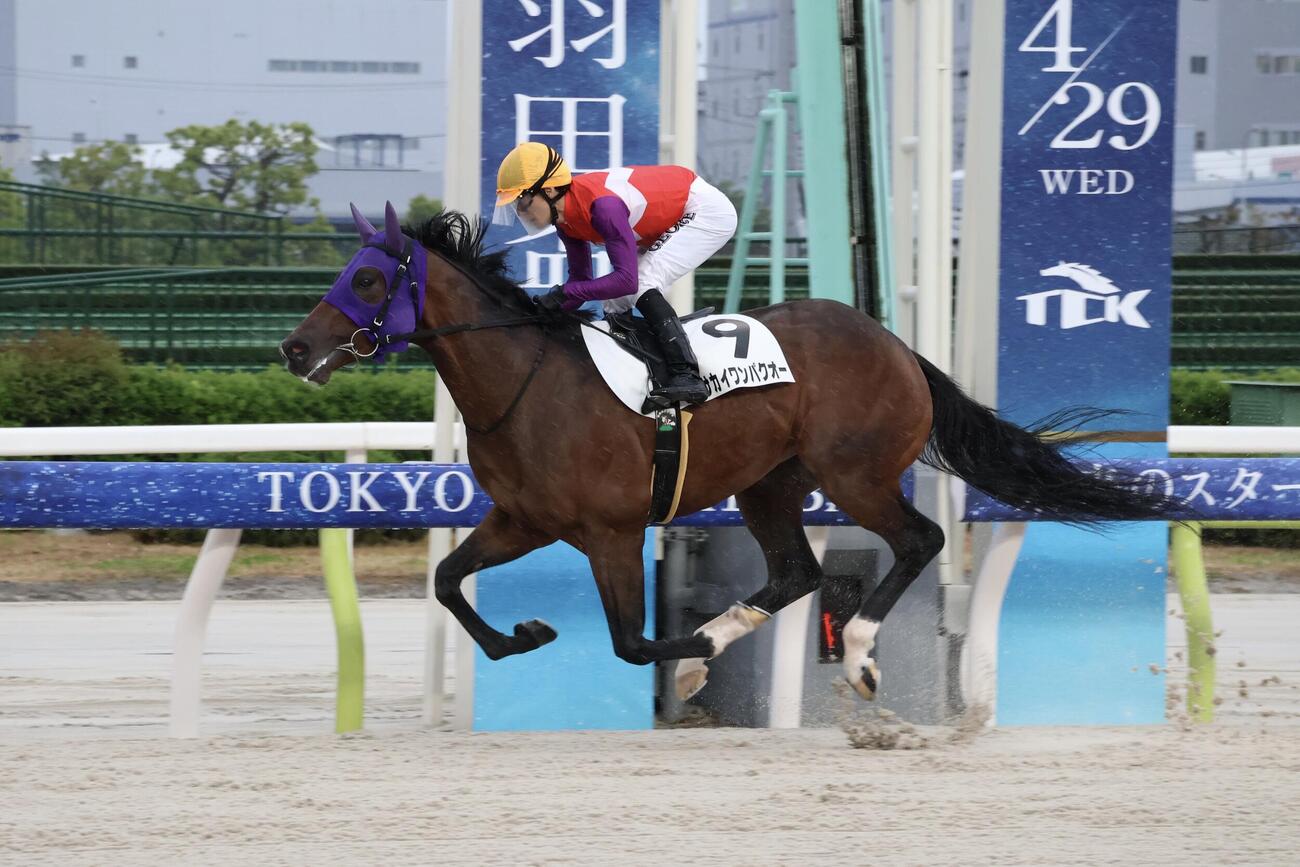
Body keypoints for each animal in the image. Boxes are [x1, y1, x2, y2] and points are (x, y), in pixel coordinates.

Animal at [280, 202, 1173, 704]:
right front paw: (523, 636)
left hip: (854, 472)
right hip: (769, 484)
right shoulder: (524, 519)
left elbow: (631, 640)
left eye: (368, 281)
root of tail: (896, 344)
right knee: (797, 572)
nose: (294, 348)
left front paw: (690, 654)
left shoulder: (611, 530)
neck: (527, 382)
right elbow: (445, 579)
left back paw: (856, 658)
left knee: (916, 540)